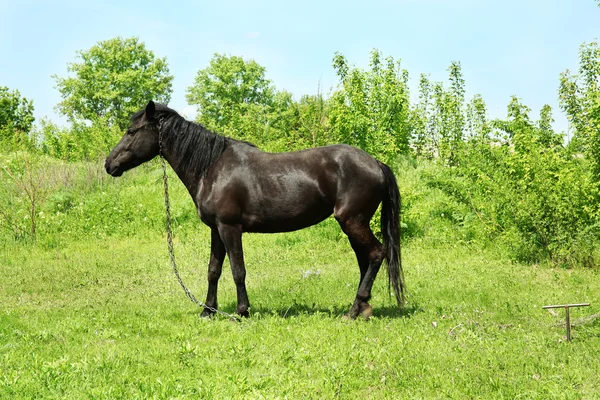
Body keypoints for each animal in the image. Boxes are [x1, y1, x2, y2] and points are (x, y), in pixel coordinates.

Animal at [105, 101, 406, 320]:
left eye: (131, 132)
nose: (109, 164)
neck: (211, 168)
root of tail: (376, 163)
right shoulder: (216, 230)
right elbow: (213, 270)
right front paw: (207, 311)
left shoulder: (230, 228)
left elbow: (238, 270)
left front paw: (241, 311)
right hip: (354, 224)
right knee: (365, 259)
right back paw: (363, 309)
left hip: (352, 221)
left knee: (376, 254)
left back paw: (353, 311)